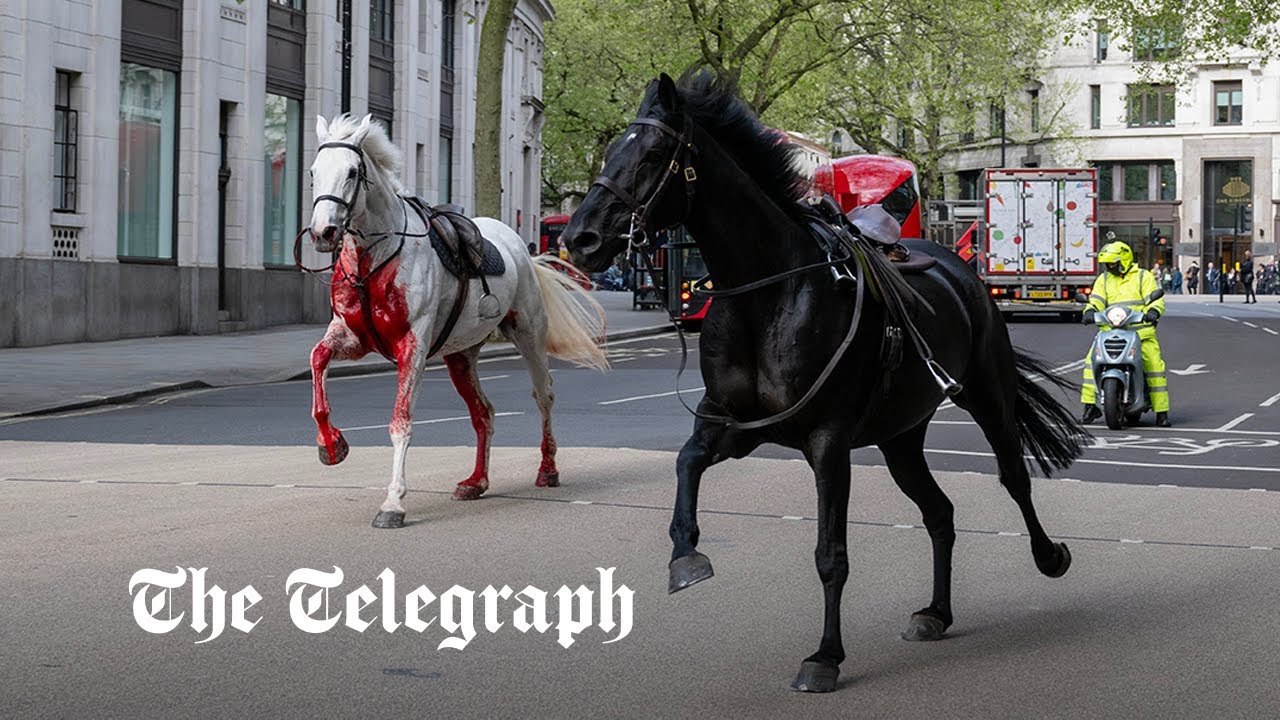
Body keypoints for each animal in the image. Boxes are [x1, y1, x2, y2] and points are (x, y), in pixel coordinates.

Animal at [303, 112, 604, 527]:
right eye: (314, 172)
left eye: (351, 172)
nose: (323, 232)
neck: (374, 258)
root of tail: (520, 246)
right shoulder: (352, 337)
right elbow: (317, 360)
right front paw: (331, 445)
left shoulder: (412, 346)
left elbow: (401, 422)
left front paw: (393, 502)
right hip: (461, 354)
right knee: (483, 413)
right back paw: (476, 481)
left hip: (528, 332)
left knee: (543, 395)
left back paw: (548, 469)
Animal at [563, 71, 1090, 691]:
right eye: (609, 153)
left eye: (651, 155)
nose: (580, 239)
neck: (767, 295)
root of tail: (956, 263)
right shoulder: (735, 425)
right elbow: (686, 463)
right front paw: (686, 556)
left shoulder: (827, 441)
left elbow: (830, 553)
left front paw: (825, 655)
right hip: (900, 436)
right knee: (939, 513)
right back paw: (936, 613)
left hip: (988, 397)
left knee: (1013, 477)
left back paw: (1049, 556)